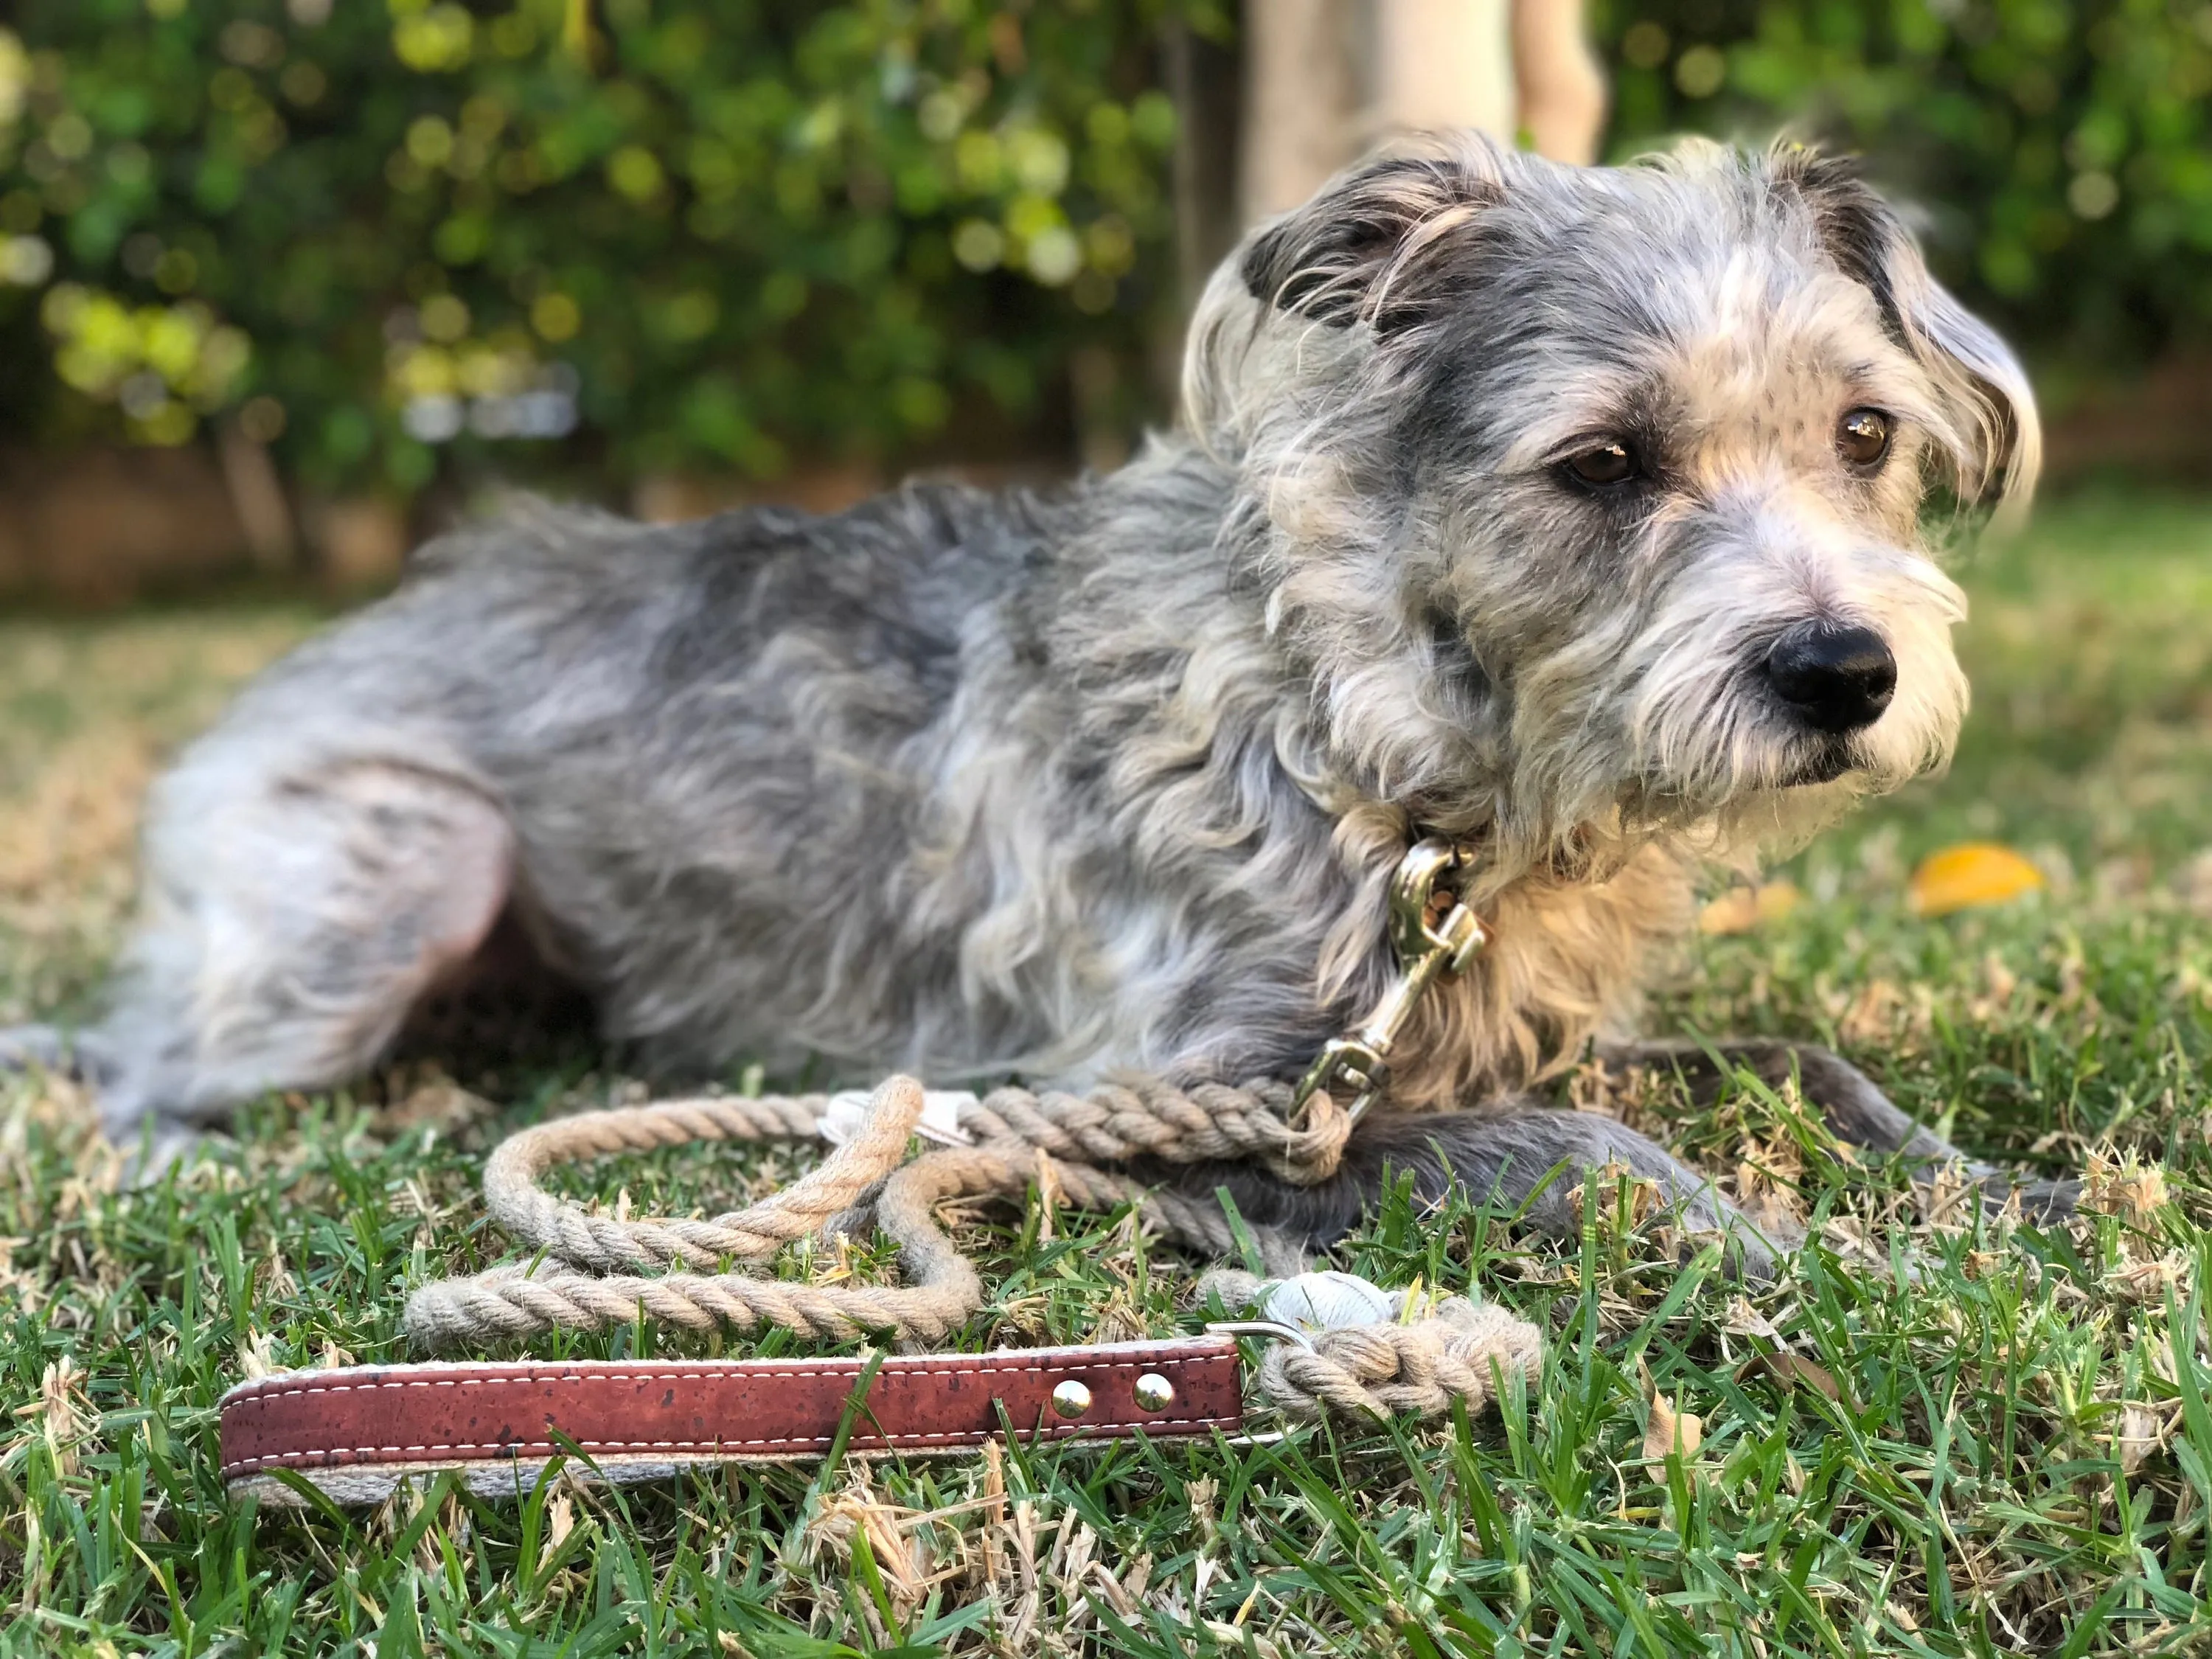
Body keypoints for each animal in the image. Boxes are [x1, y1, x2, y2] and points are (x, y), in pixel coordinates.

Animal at [4, 136, 2070, 1265]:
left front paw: (1990, 1197)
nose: (1845, 674)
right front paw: (1814, 1265)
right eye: (1604, 463)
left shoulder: (1491, 1038)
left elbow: (1790, 1063)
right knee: (145, 1063)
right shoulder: (1190, 1101)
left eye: (1863, 434)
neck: (1386, 736)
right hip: (401, 865)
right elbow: (1603, 1155)